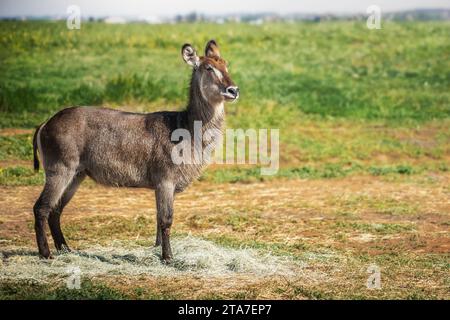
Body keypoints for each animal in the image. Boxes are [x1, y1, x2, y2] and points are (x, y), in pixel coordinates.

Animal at [31, 40, 239, 262]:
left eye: (226, 64)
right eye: (208, 68)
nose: (233, 90)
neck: (186, 127)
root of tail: (45, 123)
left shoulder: (165, 184)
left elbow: (158, 220)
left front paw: (157, 250)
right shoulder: (165, 180)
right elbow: (166, 219)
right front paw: (168, 257)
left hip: (77, 174)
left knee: (55, 210)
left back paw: (66, 249)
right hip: (60, 169)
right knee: (41, 208)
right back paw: (46, 254)